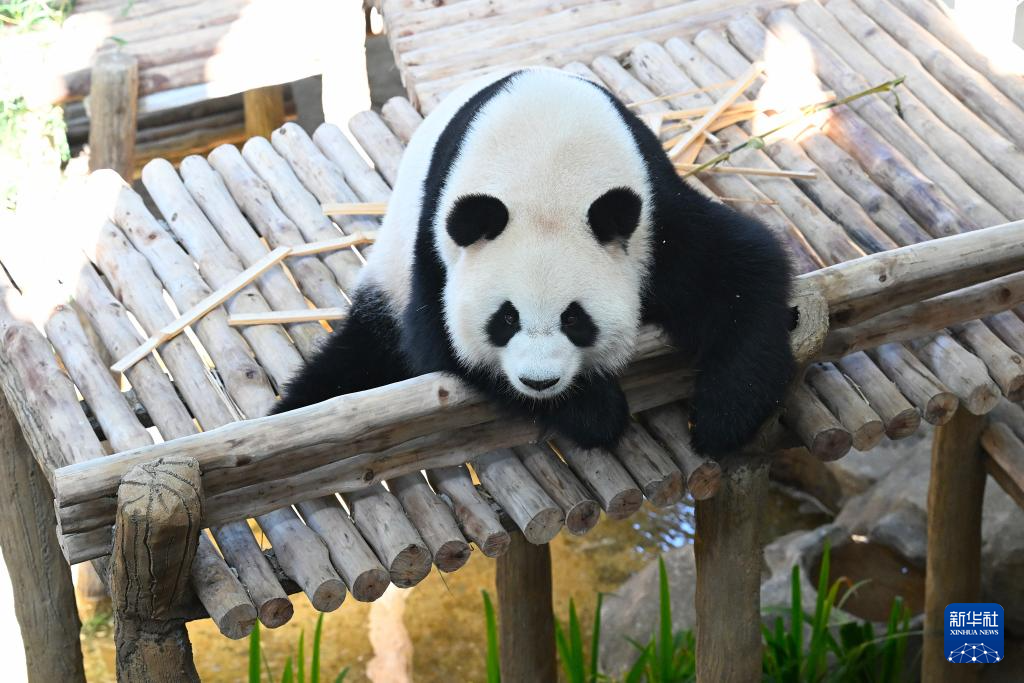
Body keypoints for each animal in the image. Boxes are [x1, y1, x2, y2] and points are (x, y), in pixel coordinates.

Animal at [274, 67, 795, 456]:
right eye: (505, 318)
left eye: (575, 319)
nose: (539, 381)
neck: (547, 168)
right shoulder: (438, 244)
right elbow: (440, 343)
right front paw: (595, 411)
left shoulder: (653, 217)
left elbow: (744, 272)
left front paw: (721, 418)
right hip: (391, 268)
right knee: (355, 359)